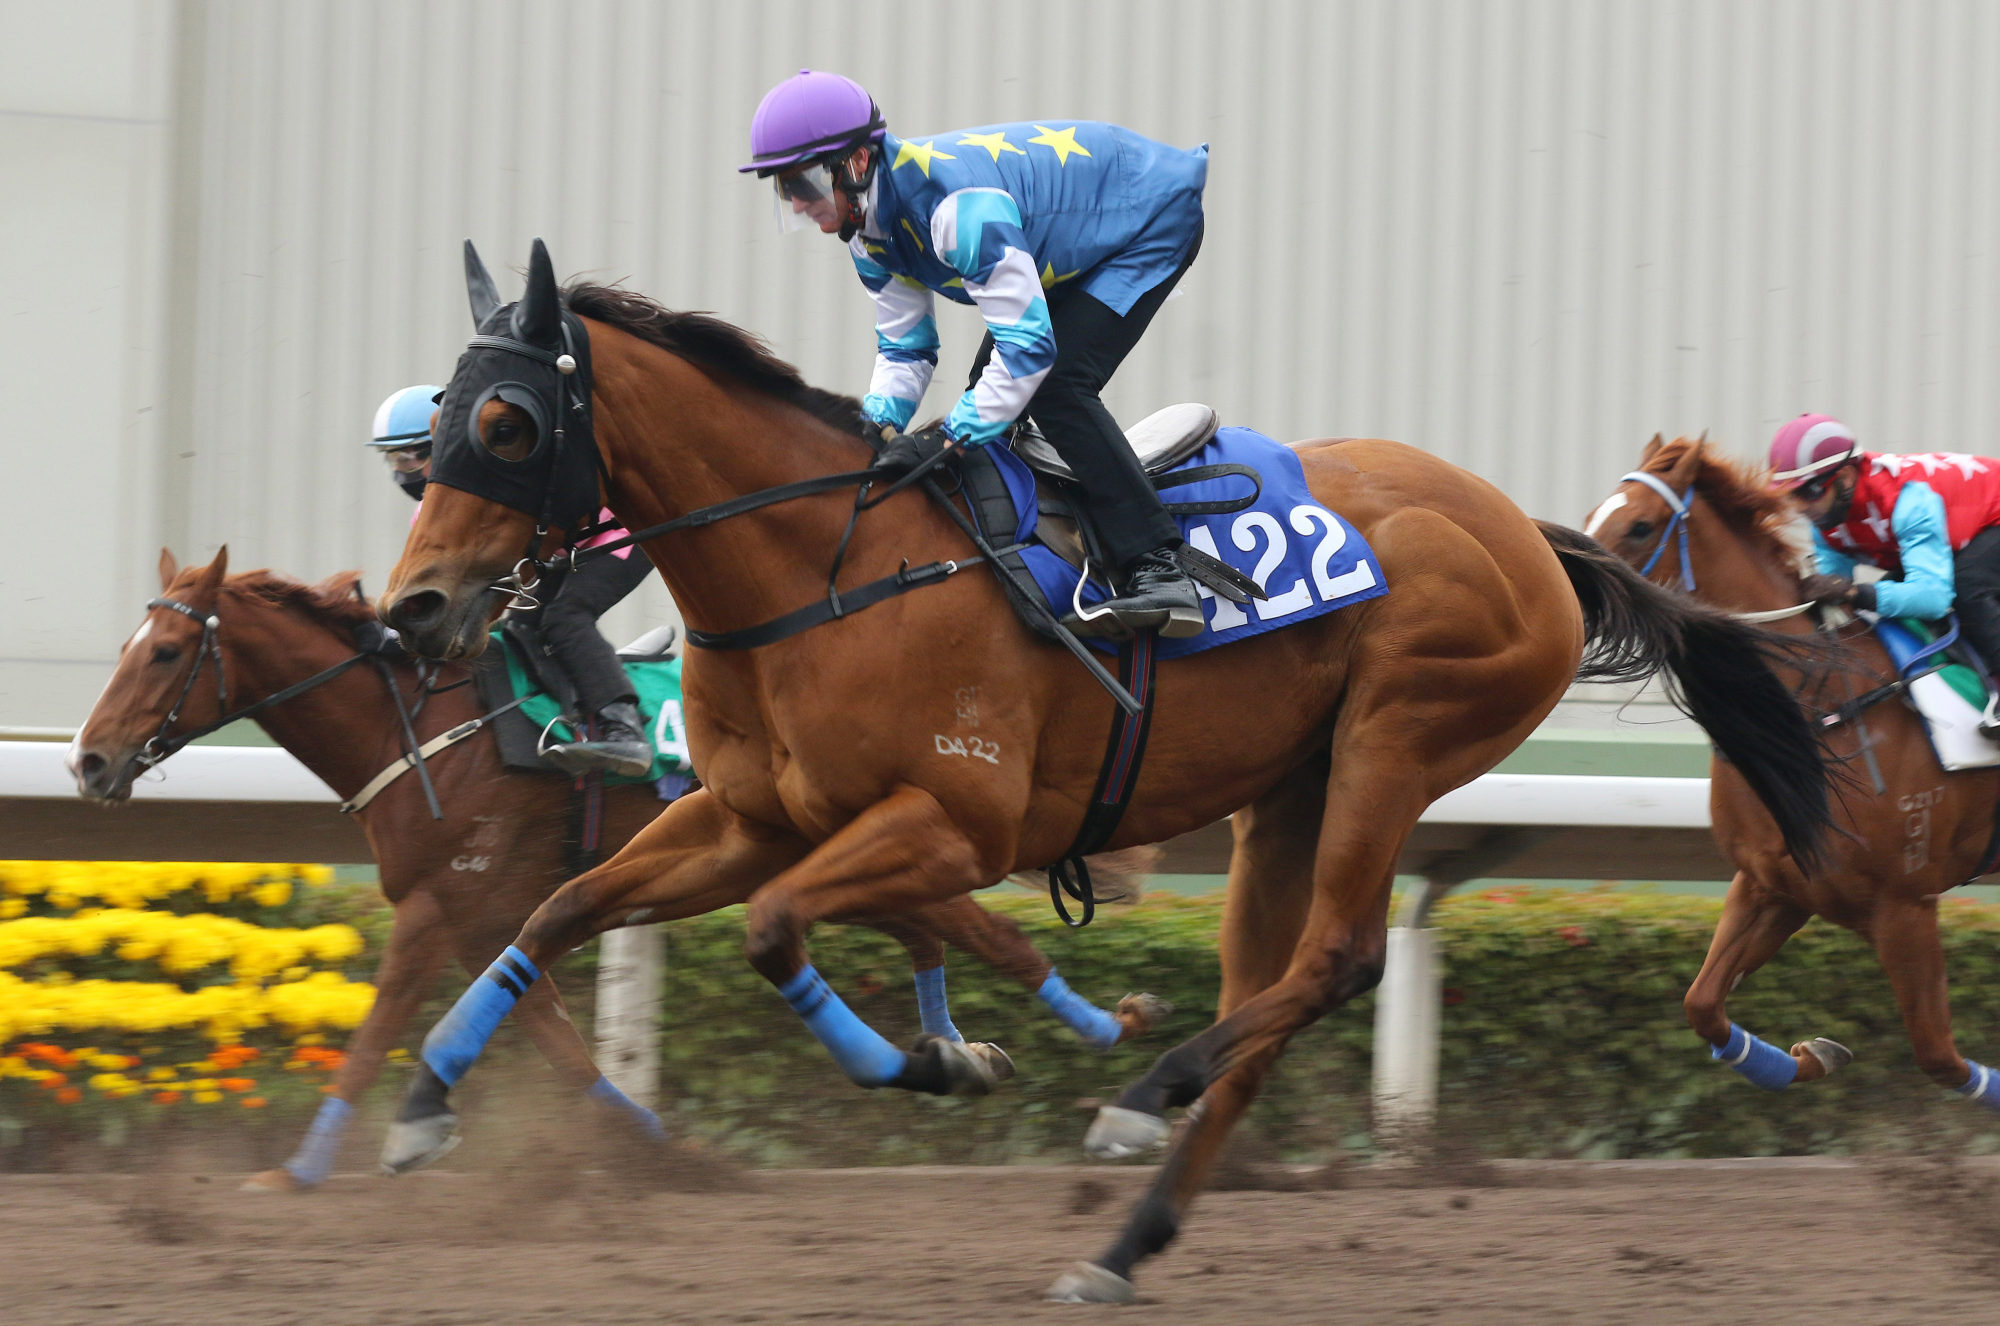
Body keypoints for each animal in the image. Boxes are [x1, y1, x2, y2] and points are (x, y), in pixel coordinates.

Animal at [70, 548, 1168, 1192]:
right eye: (127, 642)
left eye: (164, 652)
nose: (88, 761)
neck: (421, 727)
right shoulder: (488, 918)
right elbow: (558, 1042)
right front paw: (661, 1148)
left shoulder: (438, 908)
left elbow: (378, 1027)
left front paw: (295, 1172)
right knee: (933, 928)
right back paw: (967, 1051)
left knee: (976, 929)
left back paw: (1093, 1034)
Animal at [368, 241, 1832, 1304]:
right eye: (434, 422)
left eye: (507, 419)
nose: (415, 613)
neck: (820, 570)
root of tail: (1530, 535)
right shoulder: (747, 818)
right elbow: (560, 909)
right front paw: (425, 1106)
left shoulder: (952, 823)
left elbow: (779, 929)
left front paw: (940, 1066)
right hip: (1290, 788)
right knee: (1270, 994)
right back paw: (1124, 1240)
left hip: (1397, 738)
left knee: (1340, 956)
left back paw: (1137, 1098)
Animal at [1592, 440, 2000, 1112]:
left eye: (1640, 527)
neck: (1814, 712)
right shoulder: (1774, 885)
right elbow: (1703, 1004)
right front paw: (1813, 1056)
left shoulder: (1905, 907)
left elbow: (1938, 1056)